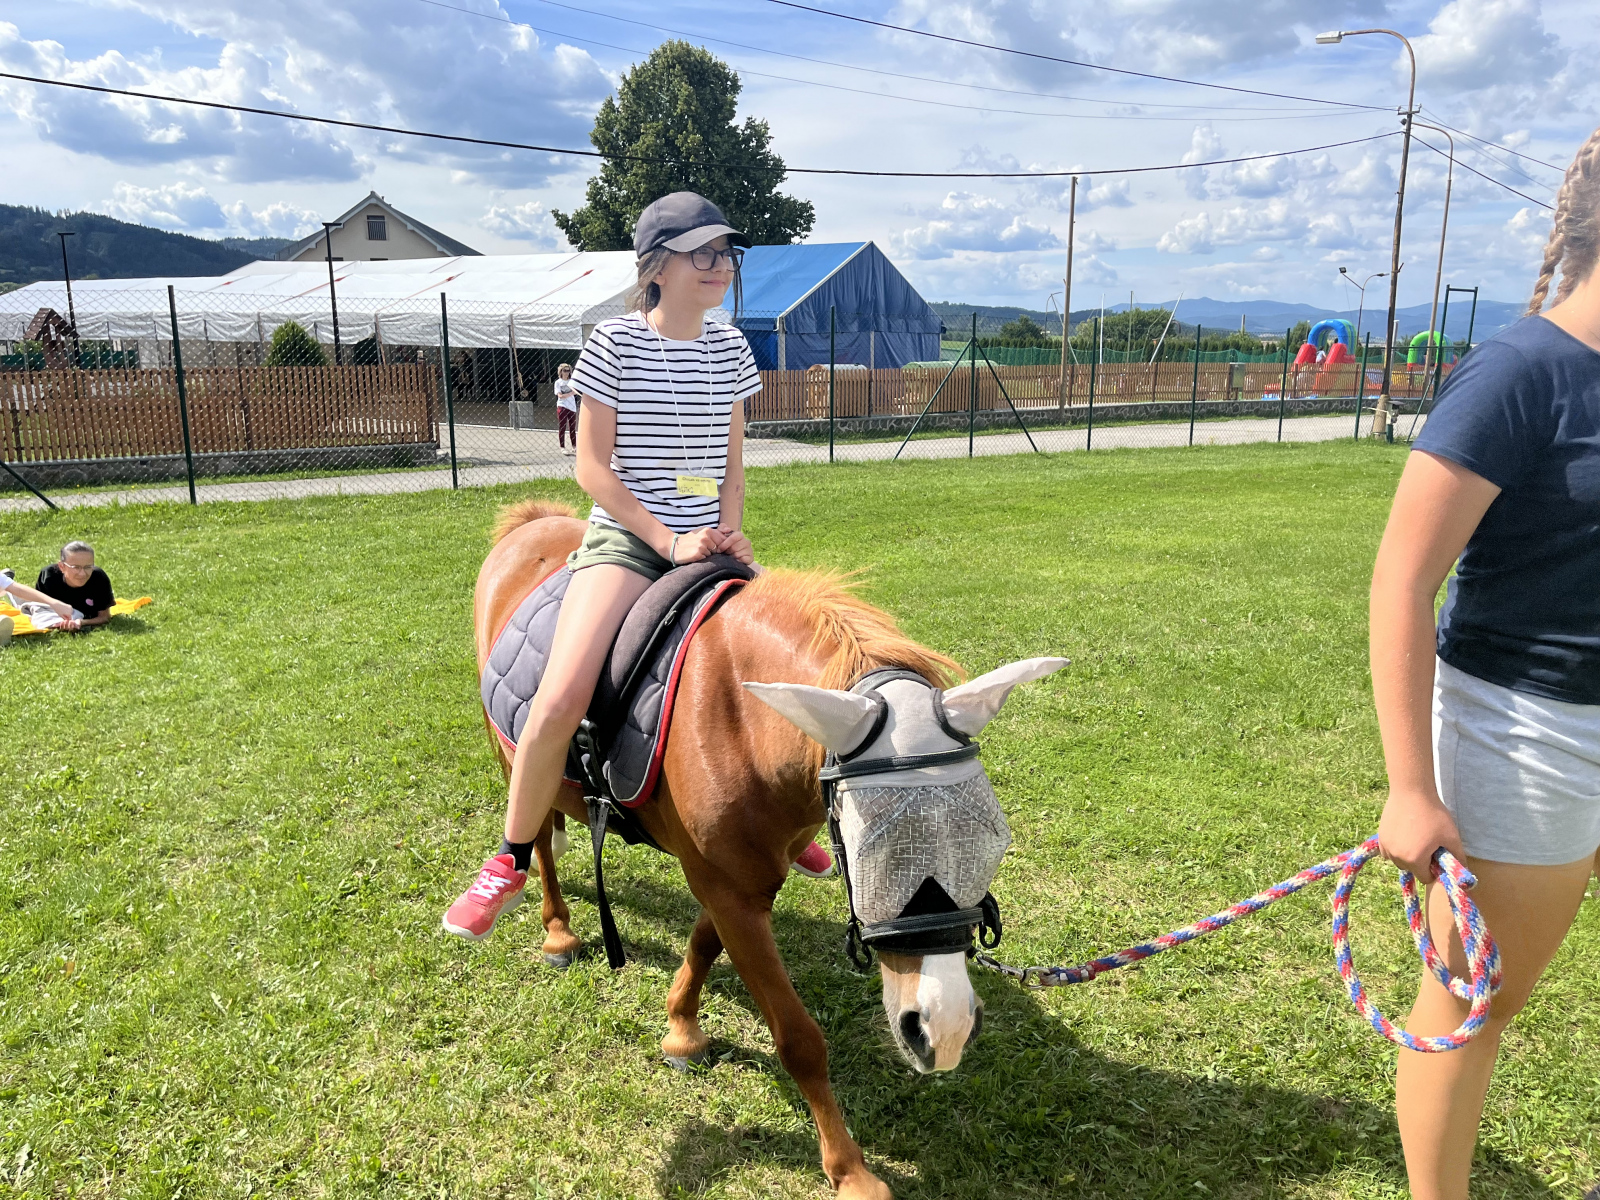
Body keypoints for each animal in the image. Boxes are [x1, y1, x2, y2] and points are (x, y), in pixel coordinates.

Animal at [474, 498, 1066, 1198]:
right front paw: (850, 1170)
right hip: (515, 749)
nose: (942, 1030)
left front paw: (682, 1029)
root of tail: (534, 521)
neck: (739, 719)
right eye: (866, 845)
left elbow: (704, 942)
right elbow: (799, 1039)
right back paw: (553, 926)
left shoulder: (741, 876)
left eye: (993, 840)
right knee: (536, 838)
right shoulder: (730, 885)